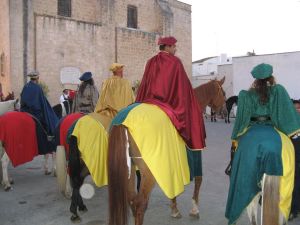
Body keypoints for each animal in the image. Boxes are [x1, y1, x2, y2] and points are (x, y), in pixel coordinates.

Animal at [108, 78, 225, 225]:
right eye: (224, 93)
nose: (223, 111)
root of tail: (123, 122)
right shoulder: (196, 154)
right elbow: (199, 180)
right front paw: (194, 210)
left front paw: (174, 209)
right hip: (148, 173)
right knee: (140, 204)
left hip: (130, 169)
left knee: (131, 200)